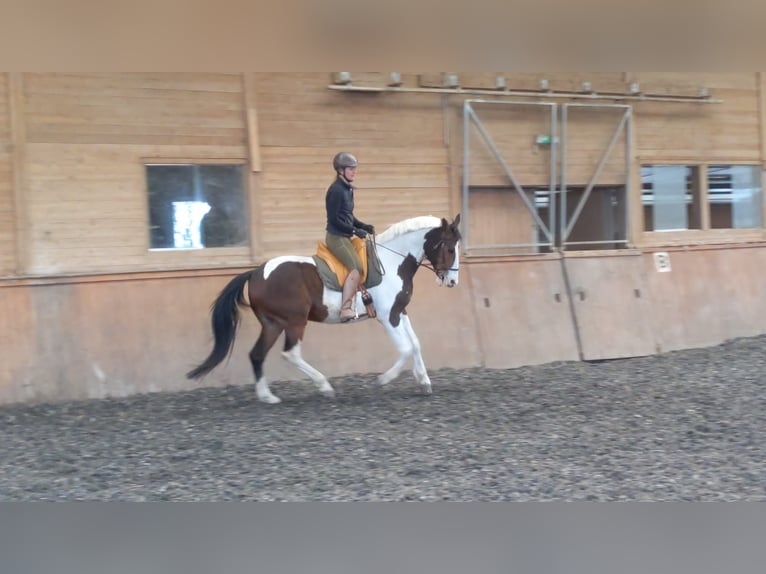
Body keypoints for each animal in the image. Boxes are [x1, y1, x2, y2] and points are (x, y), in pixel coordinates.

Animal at [186, 215, 462, 404]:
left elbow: (415, 344)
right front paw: (382, 380)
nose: (452, 281)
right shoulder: (388, 317)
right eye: (450, 248)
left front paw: (424, 381)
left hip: (273, 323)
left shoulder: (400, 312)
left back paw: (267, 397)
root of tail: (255, 273)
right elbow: (405, 348)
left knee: (257, 354)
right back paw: (324, 386)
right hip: (294, 322)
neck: (393, 262)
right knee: (290, 353)